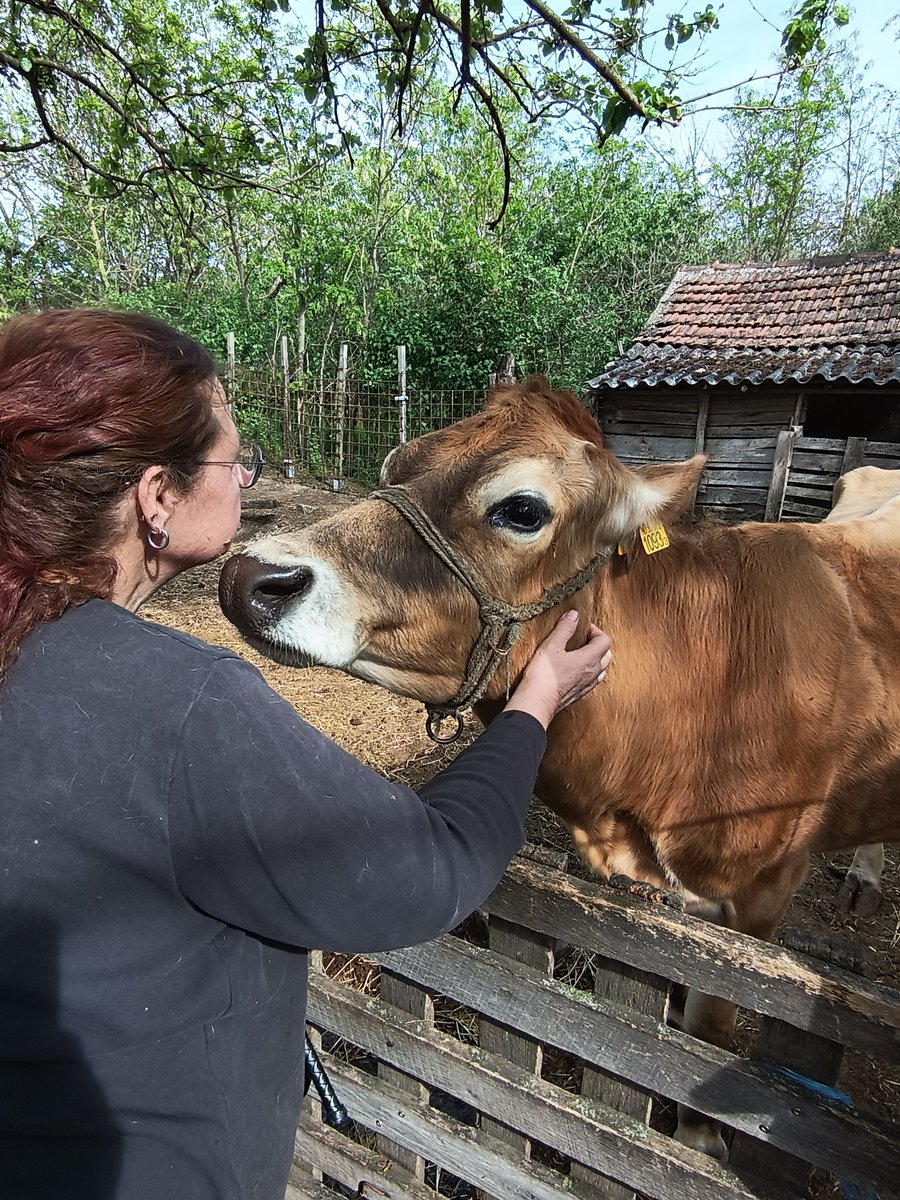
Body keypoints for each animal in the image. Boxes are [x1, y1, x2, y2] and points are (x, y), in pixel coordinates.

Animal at [219, 377, 900, 1160]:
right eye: (395, 465)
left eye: (522, 510)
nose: (250, 575)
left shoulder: (761, 890)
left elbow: (712, 1025)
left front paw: (700, 1140)